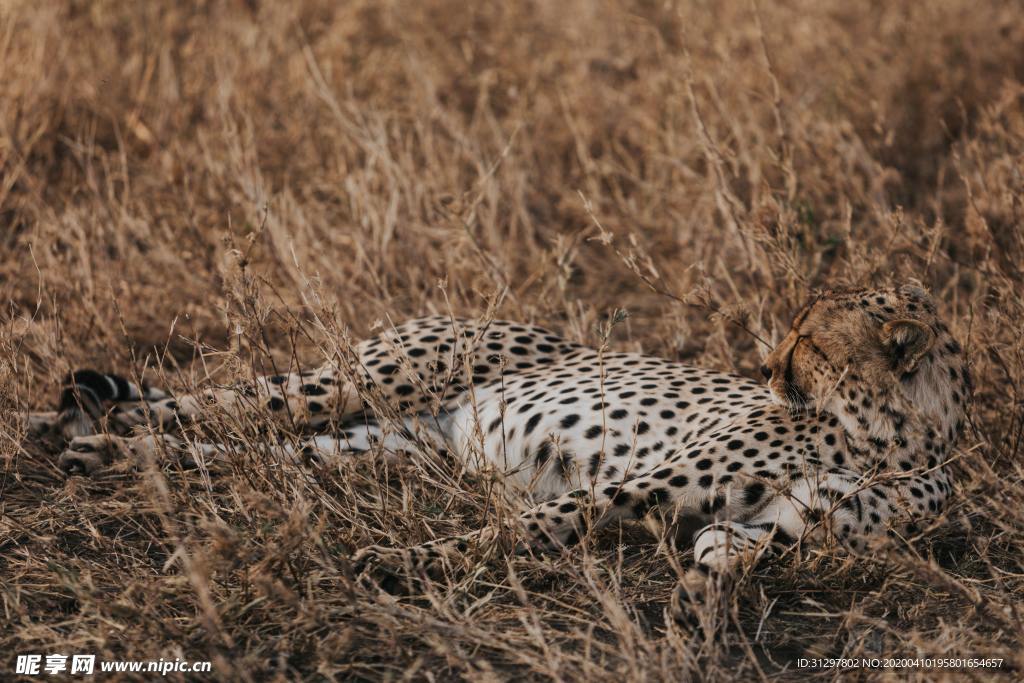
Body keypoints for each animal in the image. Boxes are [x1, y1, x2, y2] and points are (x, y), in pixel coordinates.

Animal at [39, 282, 966, 602]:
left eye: (807, 338)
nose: (767, 365)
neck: (892, 438)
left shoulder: (764, 526)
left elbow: (724, 555)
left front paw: (698, 605)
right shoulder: (646, 484)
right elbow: (526, 526)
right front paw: (397, 564)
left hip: (387, 445)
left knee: (251, 455)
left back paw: (105, 454)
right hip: (358, 381)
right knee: (221, 405)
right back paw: (83, 427)